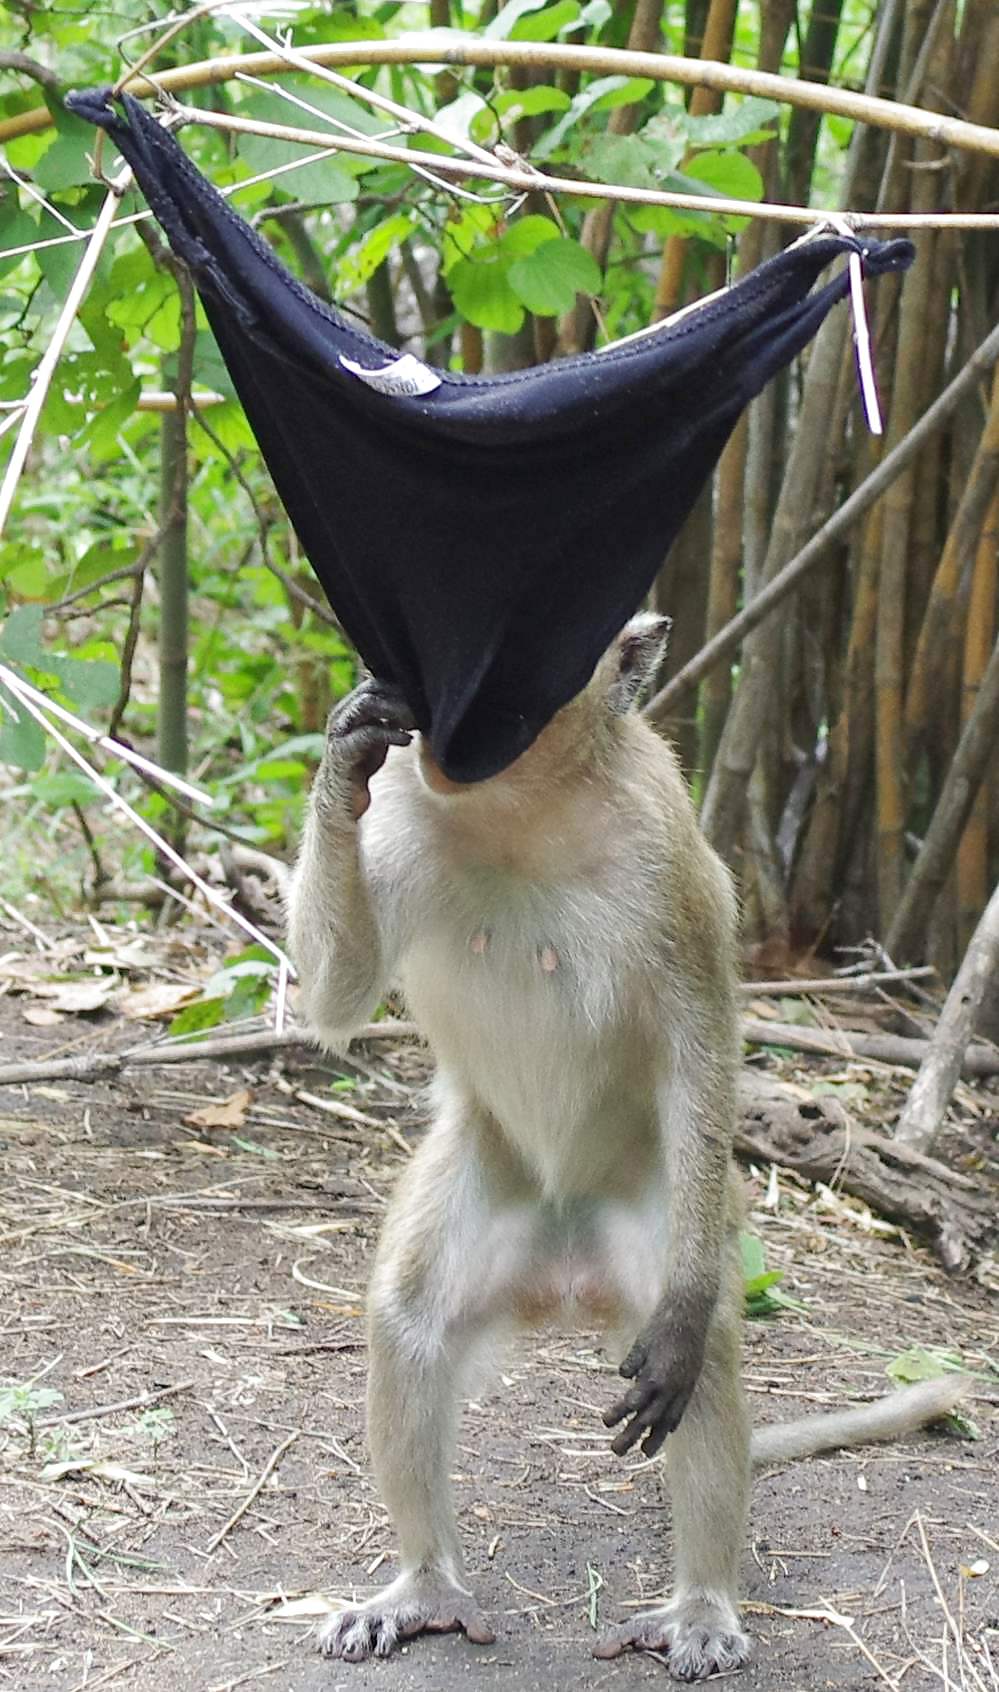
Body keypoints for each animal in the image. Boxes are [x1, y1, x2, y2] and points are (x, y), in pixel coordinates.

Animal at [287, 614, 968, 1680]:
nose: (435, 729)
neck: (519, 806)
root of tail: (564, 1276)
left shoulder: (666, 851)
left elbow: (699, 1039)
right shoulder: (397, 815)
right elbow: (338, 996)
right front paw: (348, 744)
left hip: (668, 1203)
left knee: (704, 1359)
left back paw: (700, 1603)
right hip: (488, 1182)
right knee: (407, 1322)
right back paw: (426, 1586)